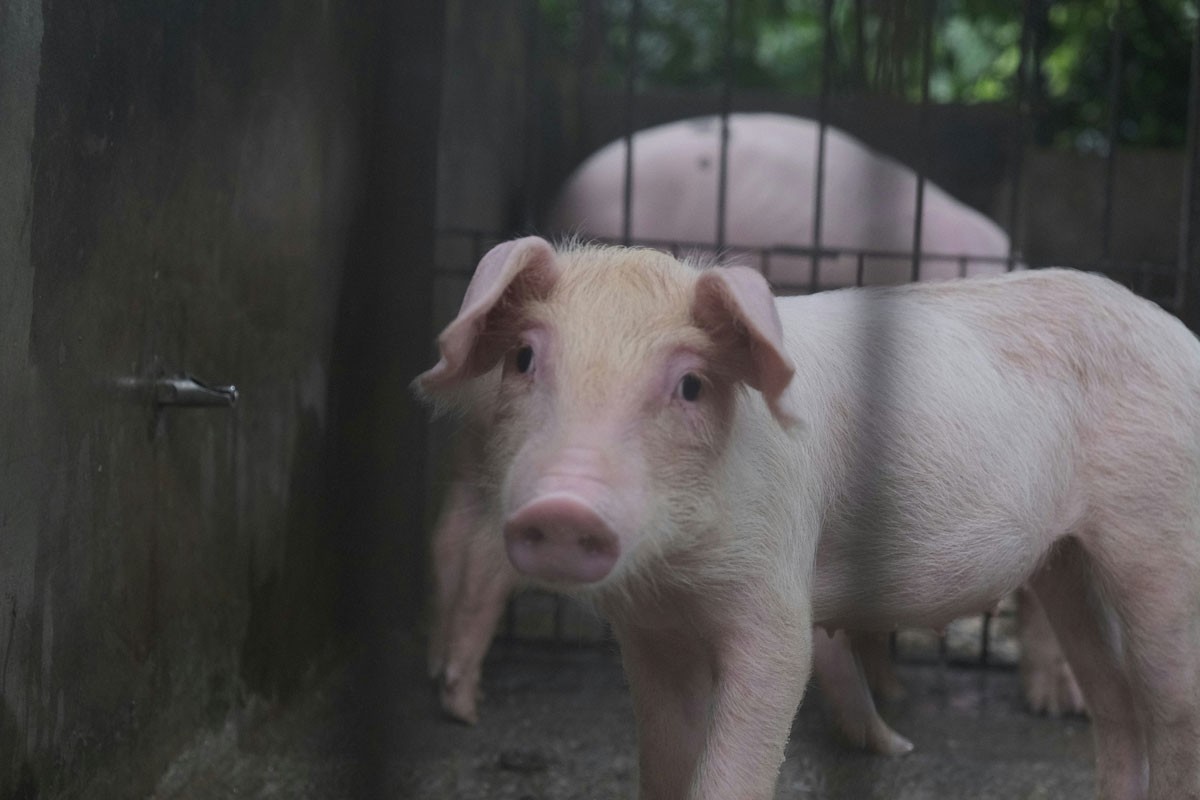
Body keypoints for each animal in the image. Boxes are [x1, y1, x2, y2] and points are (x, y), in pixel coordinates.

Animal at [417, 237, 1200, 800]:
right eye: (524, 357)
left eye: (691, 385)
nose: (562, 506)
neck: (677, 572)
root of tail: (1180, 336)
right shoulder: (646, 629)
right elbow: (664, 758)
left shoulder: (776, 593)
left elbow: (750, 736)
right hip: (1067, 561)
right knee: (1117, 705)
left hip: (1159, 531)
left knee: (1170, 704)